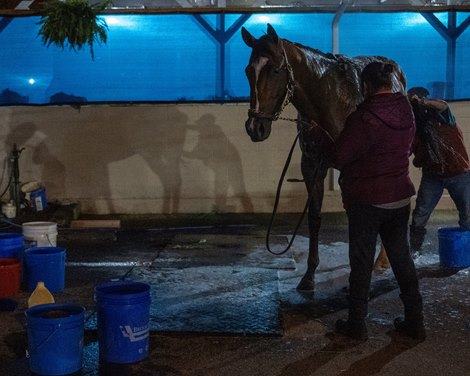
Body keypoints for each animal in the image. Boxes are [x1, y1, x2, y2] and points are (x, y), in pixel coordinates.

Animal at [241, 25, 406, 292]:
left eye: (275, 70)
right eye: (248, 71)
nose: (255, 127)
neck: (331, 101)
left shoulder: (350, 171)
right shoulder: (311, 167)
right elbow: (314, 219)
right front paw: (309, 276)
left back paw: (381, 261)